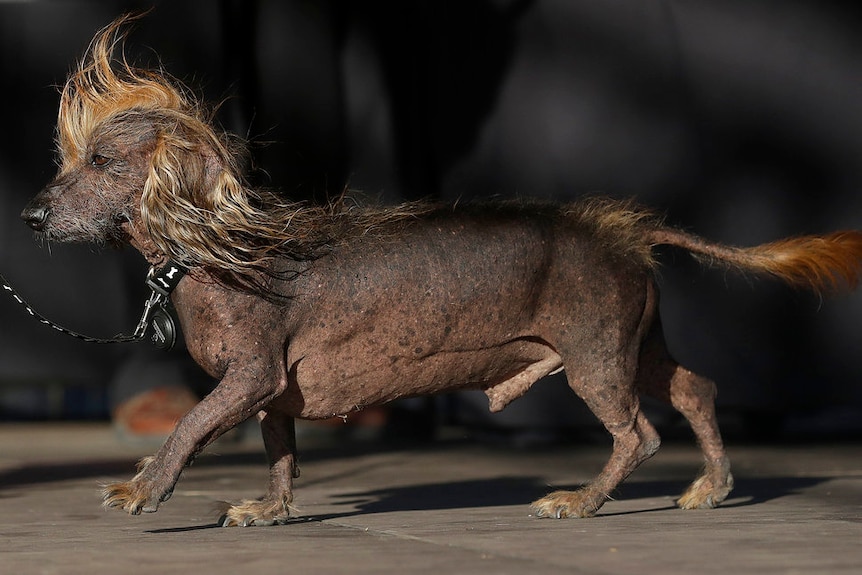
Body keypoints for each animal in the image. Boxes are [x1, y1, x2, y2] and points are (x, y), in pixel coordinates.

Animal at [20, 14, 862, 528]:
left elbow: (191, 425)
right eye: (68, 159)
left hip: (595, 352)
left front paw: (143, 486)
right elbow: (281, 450)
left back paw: (582, 500)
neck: (215, 245)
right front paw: (270, 509)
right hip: (632, 341)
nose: (29, 218)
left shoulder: (250, 374)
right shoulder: (272, 389)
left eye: (103, 161)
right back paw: (711, 485)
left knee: (642, 434)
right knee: (696, 389)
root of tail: (620, 229)